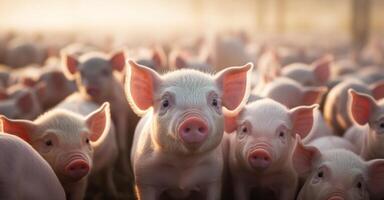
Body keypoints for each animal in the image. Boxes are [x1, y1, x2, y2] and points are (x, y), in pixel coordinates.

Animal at [126, 60, 252, 199]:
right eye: (165, 103)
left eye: (214, 102)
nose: (193, 120)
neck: (184, 165)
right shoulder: (144, 178)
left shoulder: (213, 178)